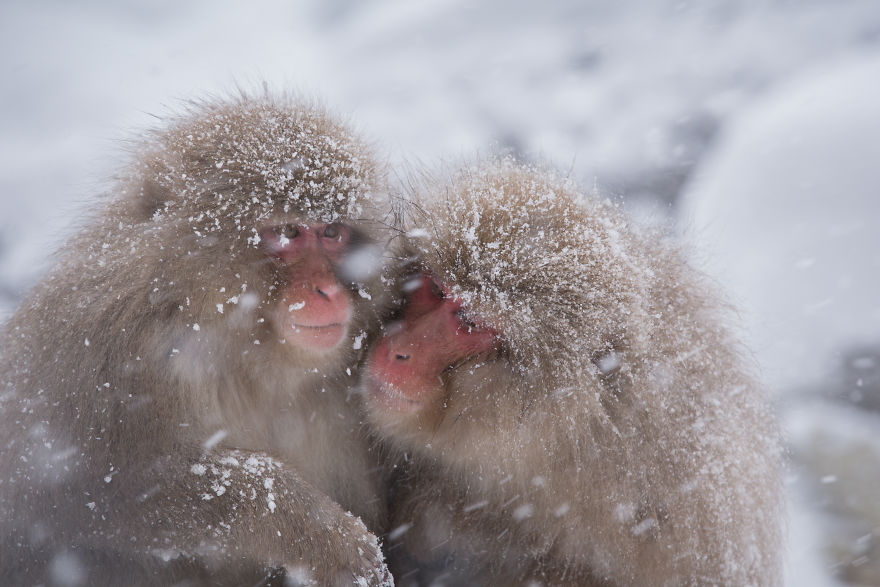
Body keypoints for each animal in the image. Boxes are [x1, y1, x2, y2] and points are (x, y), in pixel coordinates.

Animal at [0, 94, 396, 586]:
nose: (328, 290)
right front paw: (325, 536)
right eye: (288, 232)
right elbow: (96, 494)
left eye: (332, 233)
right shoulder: (102, 351)